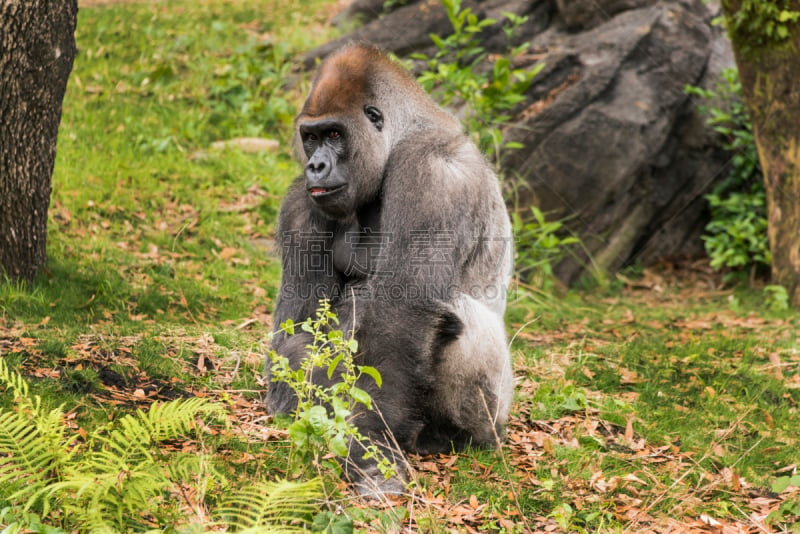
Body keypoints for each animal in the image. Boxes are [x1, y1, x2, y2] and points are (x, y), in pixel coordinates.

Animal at [266, 43, 516, 498]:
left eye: (334, 135)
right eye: (310, 137)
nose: (315, 166)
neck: (402, 136)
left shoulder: (433, 173)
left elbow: (400, 313)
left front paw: (371, 443)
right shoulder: (301, 204)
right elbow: (297, 336)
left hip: (495, 414)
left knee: (464, 320)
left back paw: (450, 435)